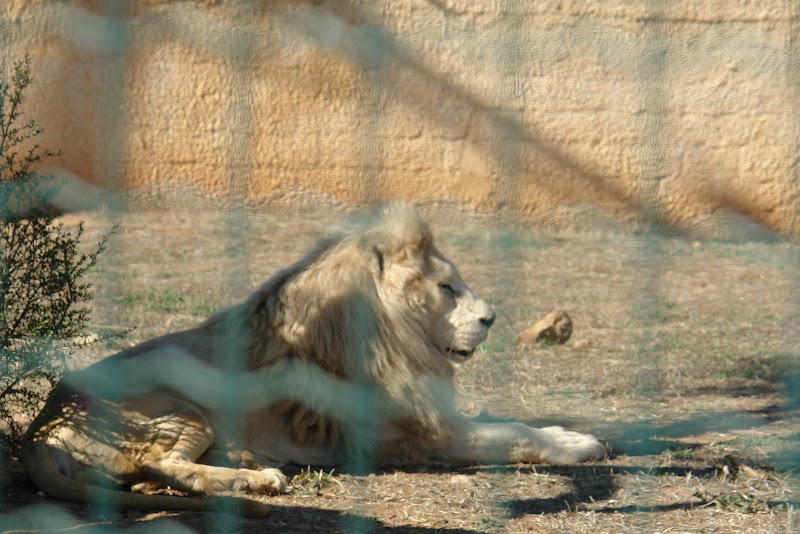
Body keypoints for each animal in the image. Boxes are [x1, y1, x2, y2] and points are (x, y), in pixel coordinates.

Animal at [22, 202, 605, 517]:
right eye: (446, 287)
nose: (492, 318)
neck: (395, 336)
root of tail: (36, 431)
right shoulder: (417, 437)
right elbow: (513, 433)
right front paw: (578, 443)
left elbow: (511, 421)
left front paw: (569, 431)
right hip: (179, 406)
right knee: (157, 465)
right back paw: (257, 480)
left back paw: (245, 465)